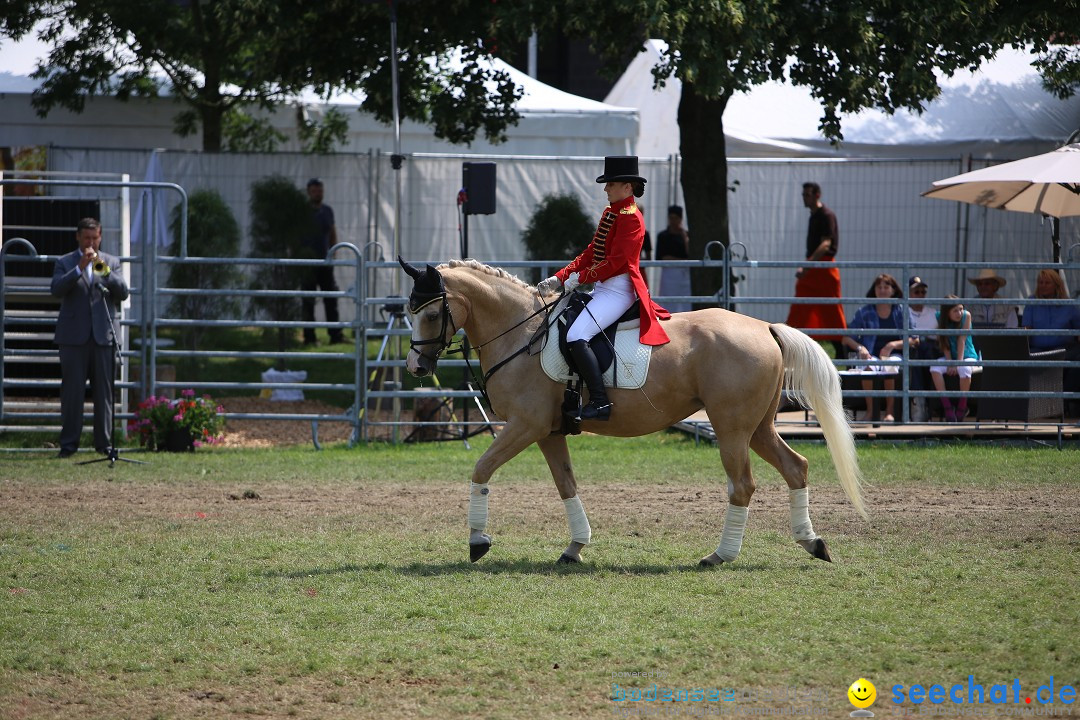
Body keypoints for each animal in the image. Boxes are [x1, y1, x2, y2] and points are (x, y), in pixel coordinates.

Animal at [401, 259, 864, 569]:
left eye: (431, 313)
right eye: (409, 311)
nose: (416, 367)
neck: (523, 333)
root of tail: (764, 328)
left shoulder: (525, 426)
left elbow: (481, 469)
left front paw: (478, 541)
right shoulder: (549, 432)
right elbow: (566, 485)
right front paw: (575, 547)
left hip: (732, 428)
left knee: (743, 485)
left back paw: (720, 555)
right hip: (758, 428)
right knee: (796, 467)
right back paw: (813, 543)